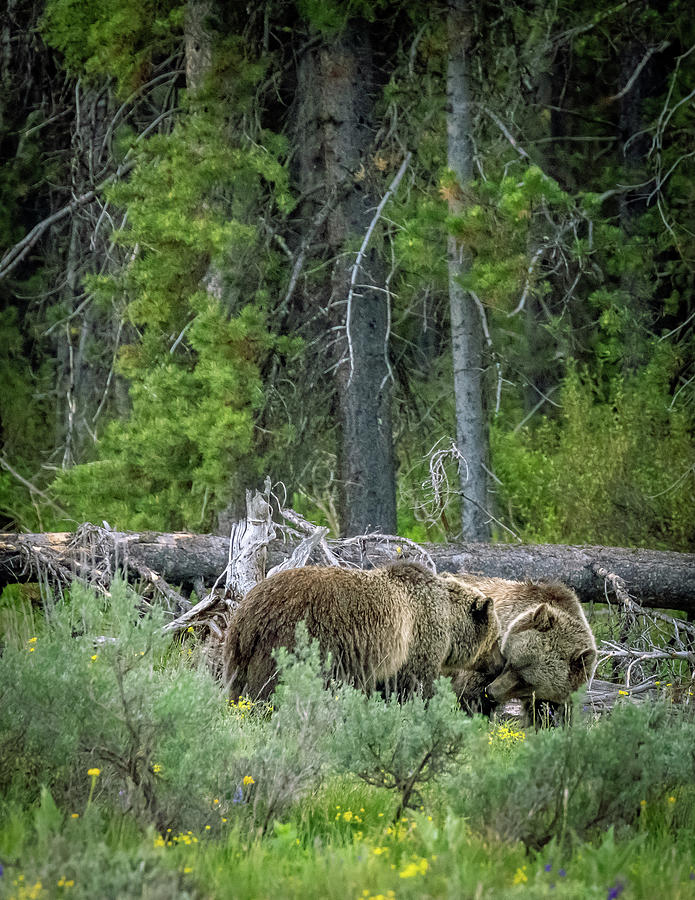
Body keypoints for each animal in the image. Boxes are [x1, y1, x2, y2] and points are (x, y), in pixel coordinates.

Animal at [223, 564, 500, 704]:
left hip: (240, 655)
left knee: (238, 687)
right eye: (497, 638)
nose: (500, 663)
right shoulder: (417, 641)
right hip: (292, 640)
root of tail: (247, 615)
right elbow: (413, 684)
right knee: (271, 685)